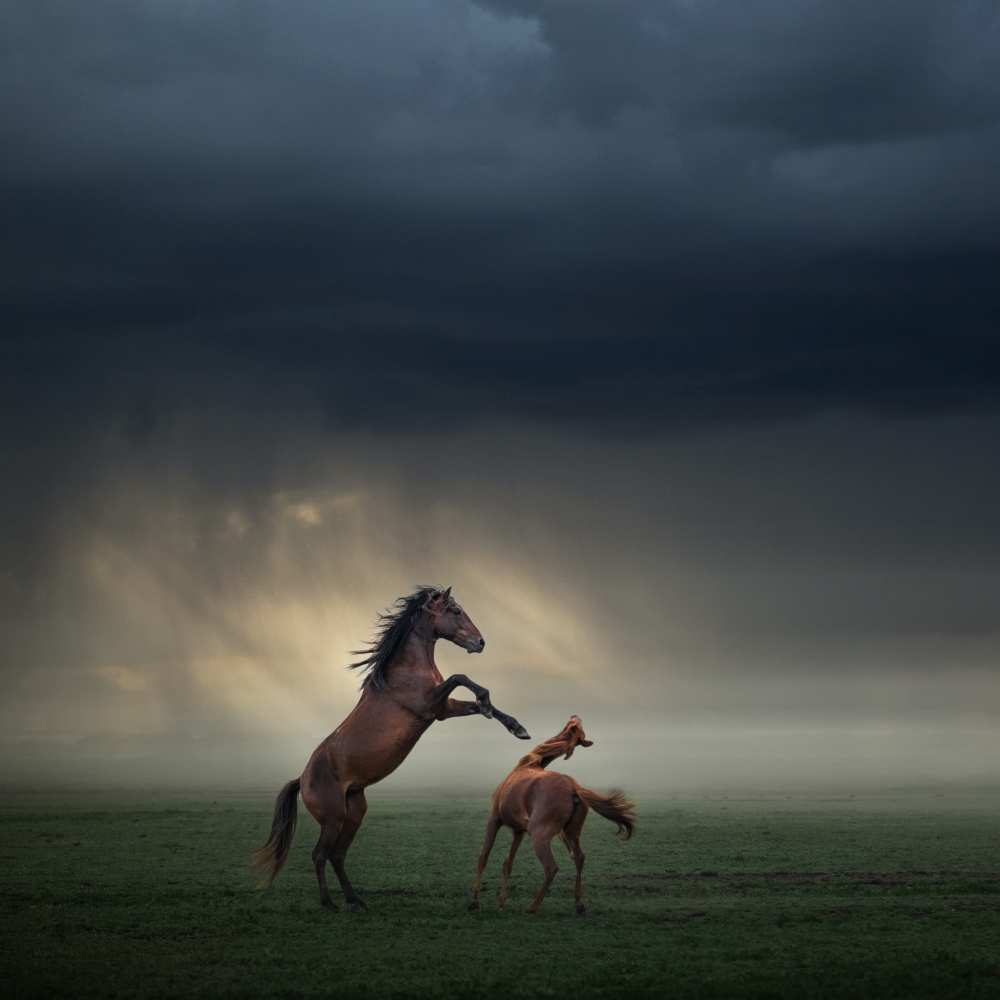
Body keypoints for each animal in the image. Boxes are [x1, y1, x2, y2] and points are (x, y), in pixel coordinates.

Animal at [252, 584, 532, 912]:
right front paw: (489, 704)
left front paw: (517, 728)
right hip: (333, 819)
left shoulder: (443, 709)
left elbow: (475, 701)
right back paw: (329, 903)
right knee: (320, 855)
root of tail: (302, 778)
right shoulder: (429, 705)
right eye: (455, 611)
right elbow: (460, 677)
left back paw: (355, 900)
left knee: (337, 855)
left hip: (354, 813)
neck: (405, 669)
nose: (480, 642)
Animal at [466, 716, 632, 916]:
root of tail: (574, 788)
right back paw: (579, 904)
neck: (532, 760)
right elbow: (508, 864)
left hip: (540, 835)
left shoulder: (494, 819)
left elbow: (483, 857)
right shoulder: (519, 830)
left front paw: (475, 902)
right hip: (571, 832)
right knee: (579, 857)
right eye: (578, 730)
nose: (575, 716)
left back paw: (533, 907)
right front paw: (501, 902)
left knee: (551, 867)